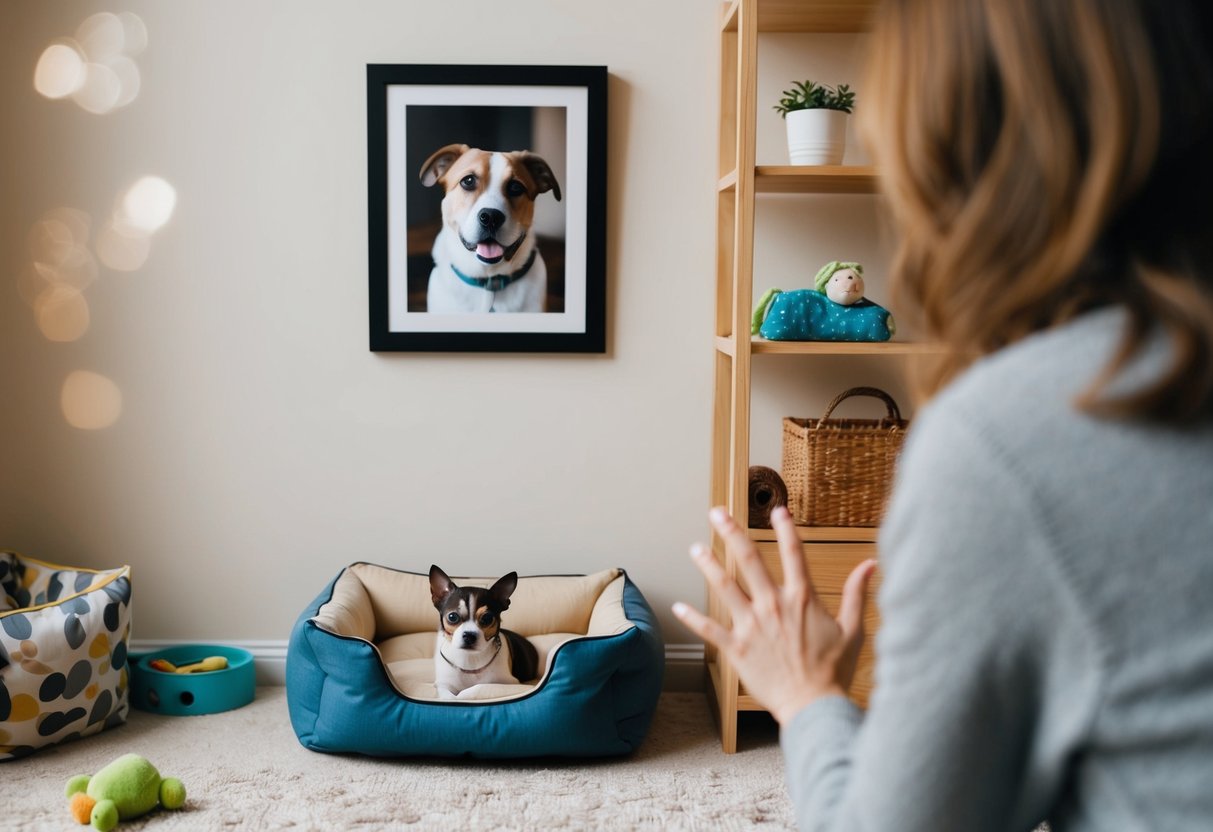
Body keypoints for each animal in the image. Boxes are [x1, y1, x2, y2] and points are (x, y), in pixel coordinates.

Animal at [429, 562, 538, 698]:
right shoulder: (443, 685)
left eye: (487, 618)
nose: (469, 635)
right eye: (452, 617)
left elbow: (478, 688)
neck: (470, 658)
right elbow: (449, 697)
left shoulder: (511, 684)